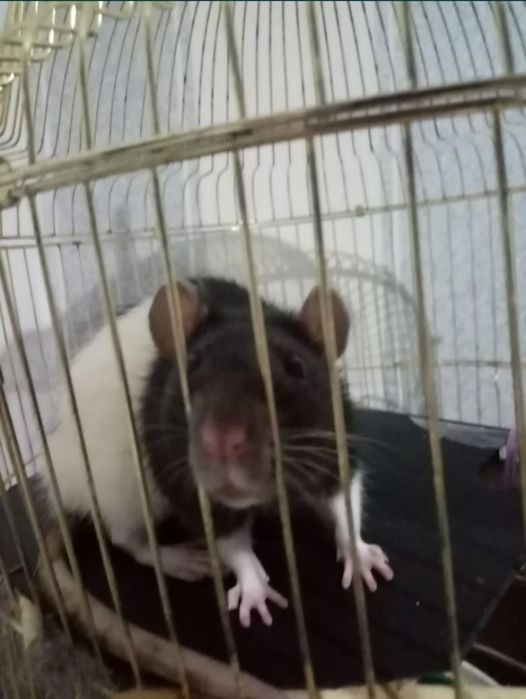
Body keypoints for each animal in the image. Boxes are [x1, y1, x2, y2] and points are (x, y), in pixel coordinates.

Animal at [44, 276, 393, 628]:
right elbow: (227, 537)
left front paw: (358, 553)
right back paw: (178, 558)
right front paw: (252, 585)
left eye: (295, 367)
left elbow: (343, 495)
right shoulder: (181, 477)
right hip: (119, 494)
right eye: (193, 363)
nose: (222, 440)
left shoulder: (334, 437)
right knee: (126, 539)